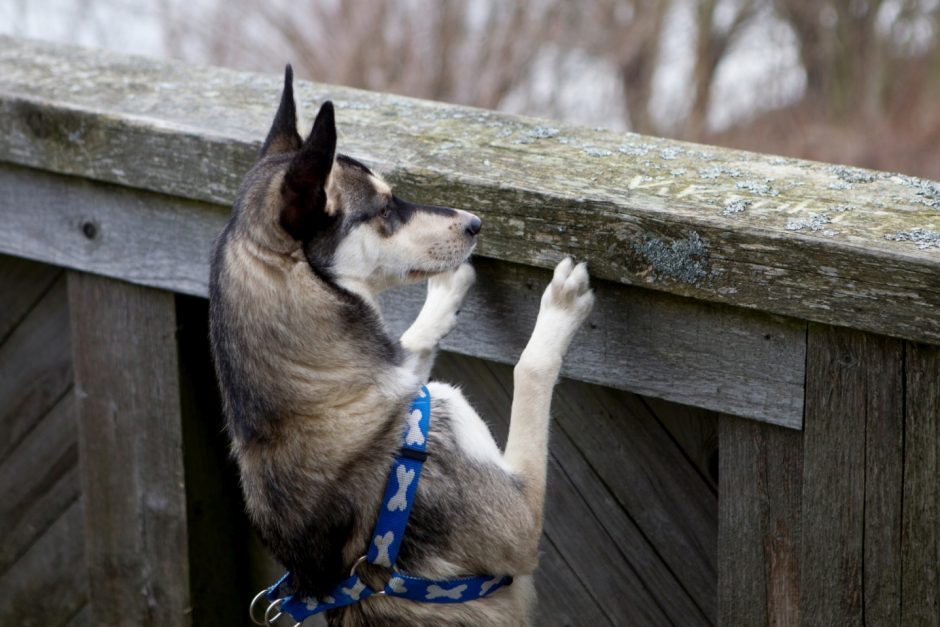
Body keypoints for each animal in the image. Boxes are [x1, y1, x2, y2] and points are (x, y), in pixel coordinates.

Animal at [211, 66, 596, 624]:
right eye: (386, 209)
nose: (475, 223)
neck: (321, 393)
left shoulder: (404, 370)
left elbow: (412, 344)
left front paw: (445, 294)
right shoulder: (521, 522)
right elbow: (528, 370)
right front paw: (560, 307)